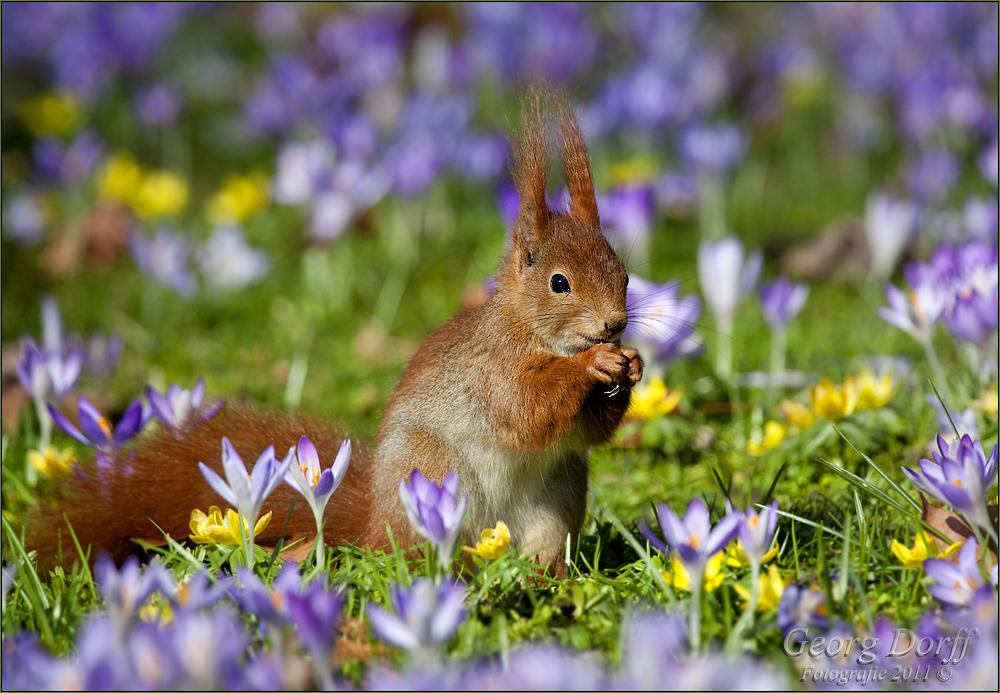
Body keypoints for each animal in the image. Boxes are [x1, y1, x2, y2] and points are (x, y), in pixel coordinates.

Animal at [31, 92, 644, 568]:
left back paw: (546, 577)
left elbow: (587, 430)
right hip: (436, 476)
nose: (615, 324)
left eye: (623, 272)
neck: (533, 330)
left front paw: (630, 364)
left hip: (556, 499)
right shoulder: (494, 368)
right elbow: (527, 407)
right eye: (560, 283)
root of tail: (375, 524)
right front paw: (594, 363)